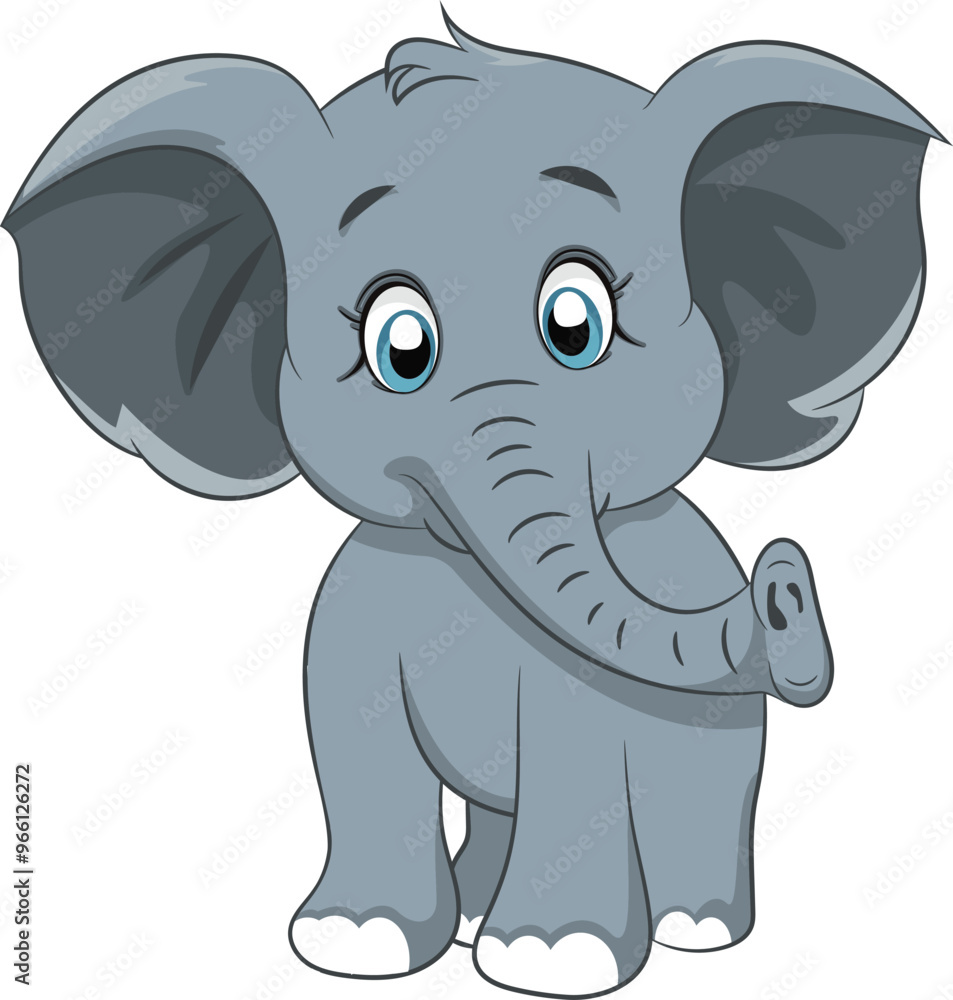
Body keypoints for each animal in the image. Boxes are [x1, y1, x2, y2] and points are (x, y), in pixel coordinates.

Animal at [3, 12, 941, 997]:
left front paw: (550, 959)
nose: (785, 586)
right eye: (399, 346)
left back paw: (693, 929)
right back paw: (473, 921)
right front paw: (353, 941)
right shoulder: (352, 615)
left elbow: (577, 758)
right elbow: (354, 748)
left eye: (577, 325)